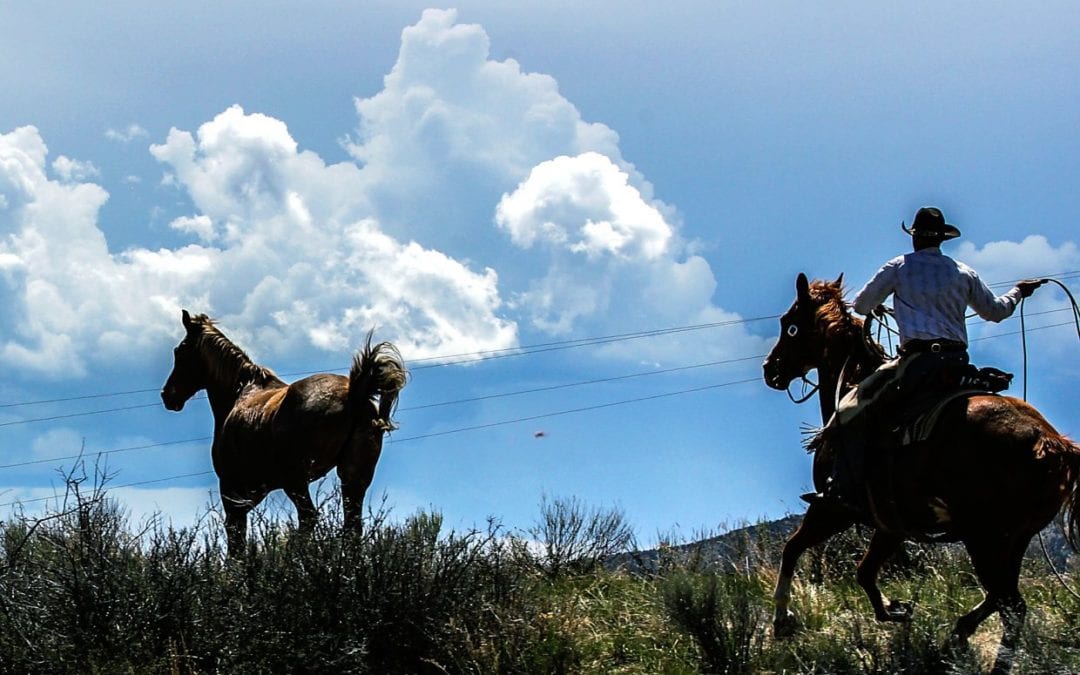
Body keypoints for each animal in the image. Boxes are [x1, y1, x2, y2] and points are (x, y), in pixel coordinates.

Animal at [161, 310, 408, 556]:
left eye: (180, 351)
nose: (167, 395)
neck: (239, 394)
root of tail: (354, 393)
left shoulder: (231, 489)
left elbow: (235, 537)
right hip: (352, 476)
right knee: (352, 528)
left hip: (295, 480)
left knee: (309, 518)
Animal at [762, 273, 1080, 674]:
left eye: (789, 324)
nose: (770, 369)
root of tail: (1051, 442)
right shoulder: (891, 524)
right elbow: (865, 572)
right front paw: (897, 610)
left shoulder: (834, 507)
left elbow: (793, 547)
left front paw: (782, 619)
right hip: (1014, 537)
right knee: (1001, 597)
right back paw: (959, 632)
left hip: (985, 537)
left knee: (1011, 605)